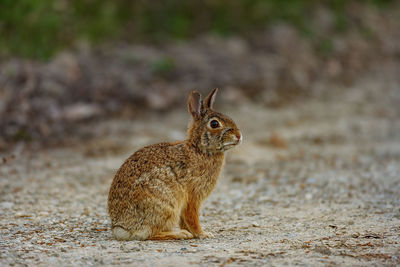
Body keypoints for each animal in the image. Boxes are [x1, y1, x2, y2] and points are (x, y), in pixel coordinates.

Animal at [106, 89, 242, 242]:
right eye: (214, 124)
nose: (238, 136)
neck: (200, 148)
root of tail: (122, 229)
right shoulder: (192, 197)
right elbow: (192, 218)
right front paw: (203, 234)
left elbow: (186, 220)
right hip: (165, 204)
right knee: (151, 234)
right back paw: (180, 234)